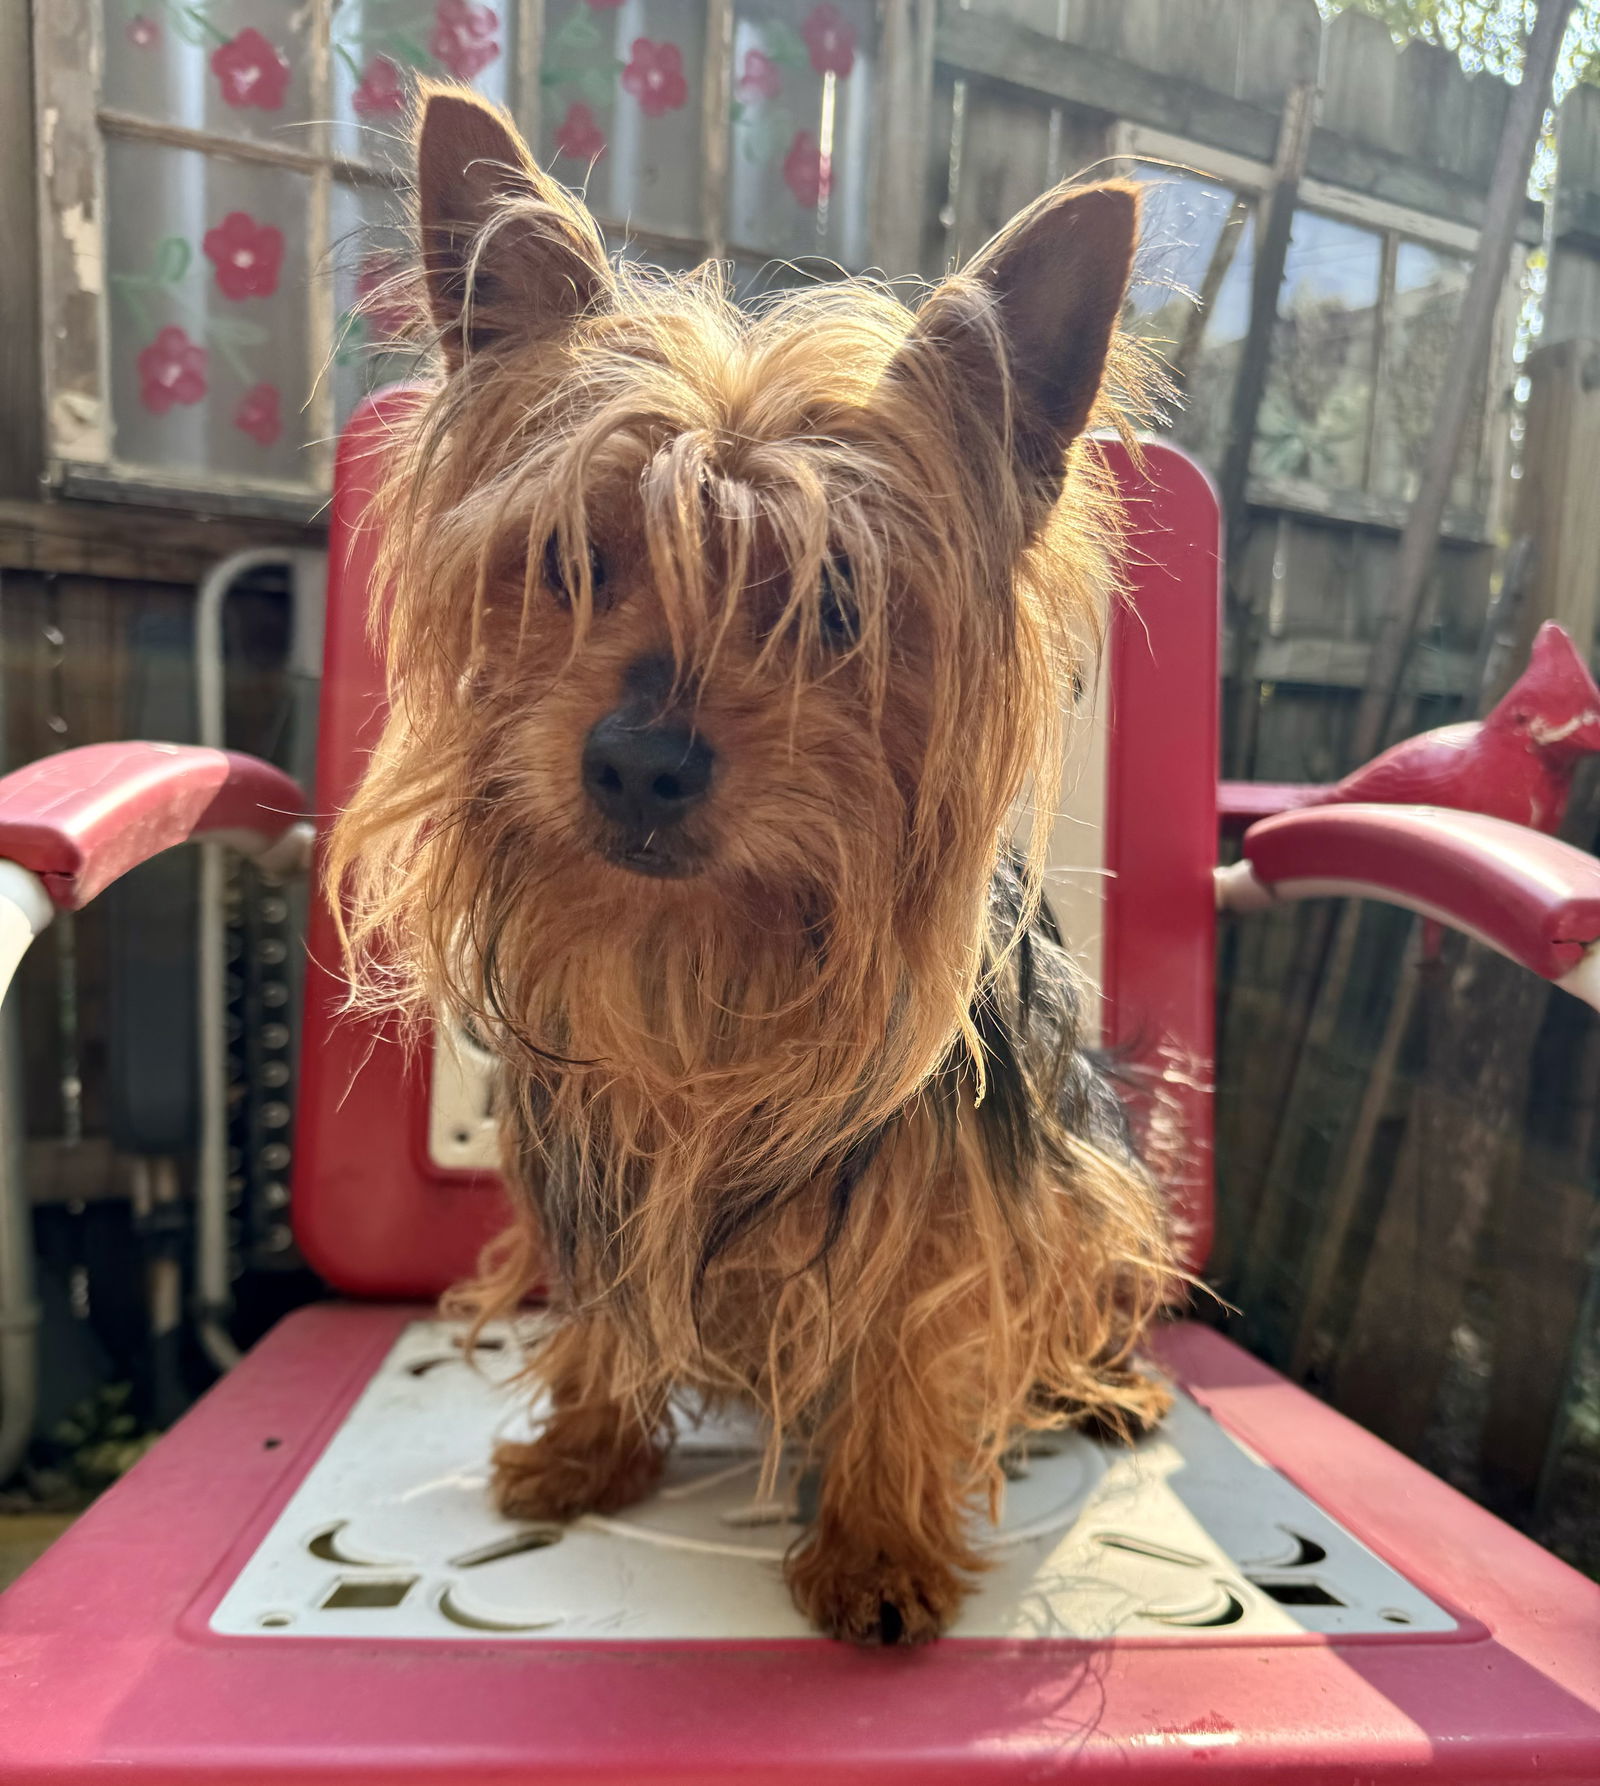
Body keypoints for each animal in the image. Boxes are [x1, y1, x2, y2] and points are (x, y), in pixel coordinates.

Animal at [328, 87, 1171, 1643]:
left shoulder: (958, 1196)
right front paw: (591, 1446)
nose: (638, 763)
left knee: (1094, 1278)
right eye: (570, 561)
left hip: (1095, 1171)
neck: (711, 948)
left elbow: (921, 1329)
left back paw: (1107, 1380)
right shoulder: (605, 1158)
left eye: (837, 600)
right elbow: (610, 1312)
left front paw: (880, 1542)